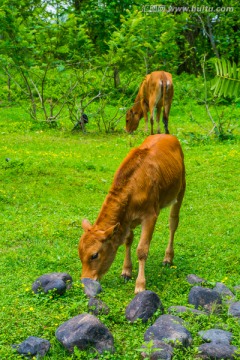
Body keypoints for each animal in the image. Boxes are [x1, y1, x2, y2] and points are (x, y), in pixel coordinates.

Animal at [79, 134, 186, 294]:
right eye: (80, 253)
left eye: (94, 255)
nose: (84, 282)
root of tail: (167, 135)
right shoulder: (127, 220)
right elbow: (128, 240)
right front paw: (126, 271)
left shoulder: (150, 216)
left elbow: (142, 250)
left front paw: (140, 285)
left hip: (181, 188)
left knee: (173, 222)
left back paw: (168, 258)